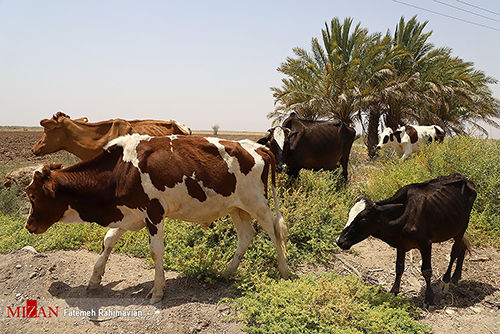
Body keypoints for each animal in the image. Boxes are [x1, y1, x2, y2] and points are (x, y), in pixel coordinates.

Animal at [25, 133, 290, 302]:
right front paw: (94, 279)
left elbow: (155, 252)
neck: (121, 169)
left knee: (275, 231)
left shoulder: (153, 212)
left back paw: (284, 271)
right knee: (246, 235)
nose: (29, 225)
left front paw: (157, 291)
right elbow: (108, 240)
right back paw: (227, 272)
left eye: (33, 196)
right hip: (236, 207)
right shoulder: (130, 214)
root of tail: (256, 146)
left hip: (257, 203)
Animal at [336, 175, 476, 308]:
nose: (339, 241)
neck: (405, 216)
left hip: (461, 228)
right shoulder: (401, 244)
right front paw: (393, 292)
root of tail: (465, 179)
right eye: (349, 214)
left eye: (362, 219)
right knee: (462, 247)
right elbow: (399, 267)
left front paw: (429, 299)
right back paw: (456, 276)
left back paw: (446, 281)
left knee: (454, 252)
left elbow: (426, 271)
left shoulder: (426, 243)